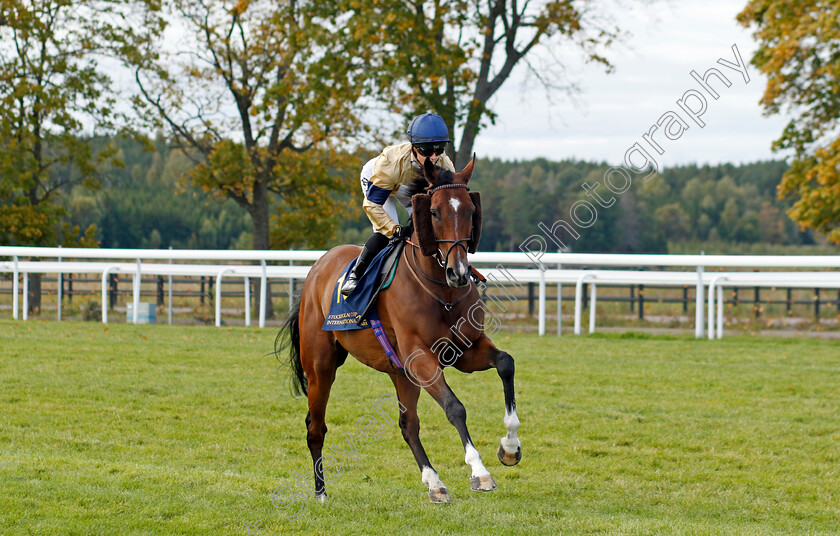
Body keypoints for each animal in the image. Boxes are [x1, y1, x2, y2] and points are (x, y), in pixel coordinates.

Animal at [278, 155, 520, 502]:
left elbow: (505, 363)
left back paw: (434, 483)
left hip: (400, 372)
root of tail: (316, 269)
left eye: (470, 212)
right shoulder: (421, 358)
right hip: (321, 366)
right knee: (316, 426)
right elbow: (455, 407)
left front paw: (510, 447)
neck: (442, 292)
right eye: (434, 212)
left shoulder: (463, 351)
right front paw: (480, 472)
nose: (459, 273)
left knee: (408, 424)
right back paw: (321, 492)